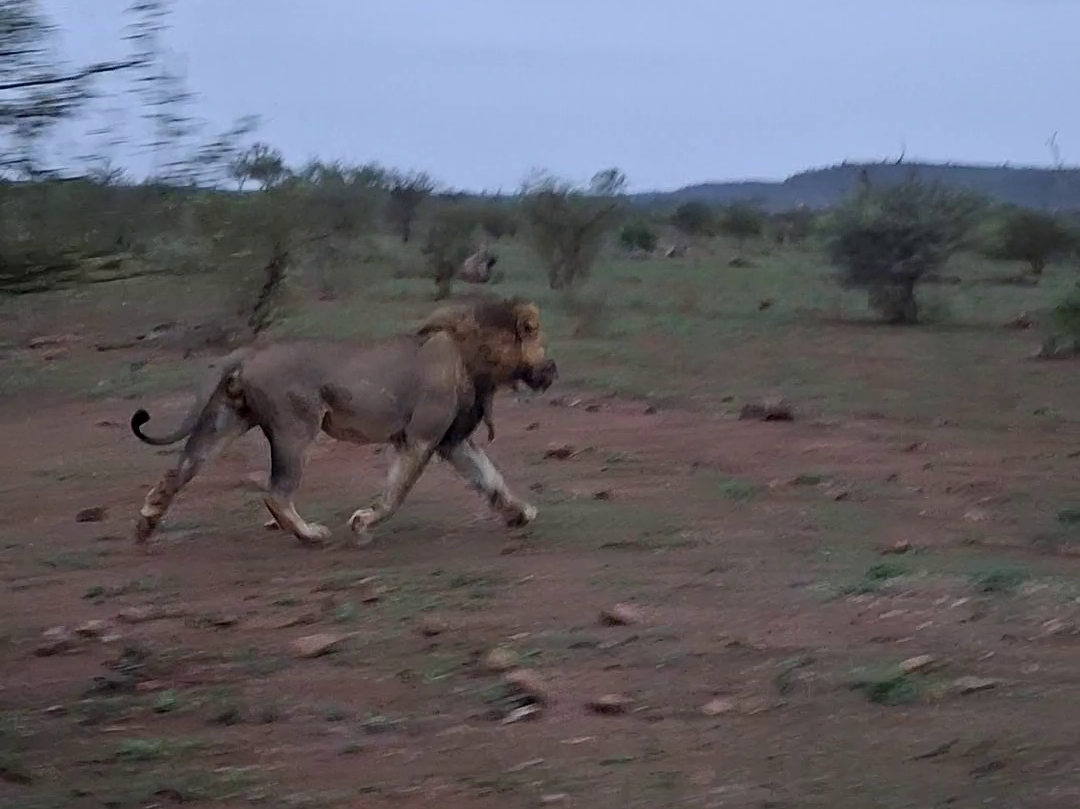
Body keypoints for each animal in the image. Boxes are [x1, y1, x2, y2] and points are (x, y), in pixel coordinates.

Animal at [129, 297, 558, 548]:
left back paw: (147, 524)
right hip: (296, 427)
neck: (476, 353)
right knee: (276, 492)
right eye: (537, 336)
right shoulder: (420, 436)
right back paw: (309, 534)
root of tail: (249, 352)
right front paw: (364, 523)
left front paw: (519, 514)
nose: (553, 368)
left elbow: (490, 478)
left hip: (226, 419)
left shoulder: (453, 440)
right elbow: (397, 492)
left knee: (179, 470)